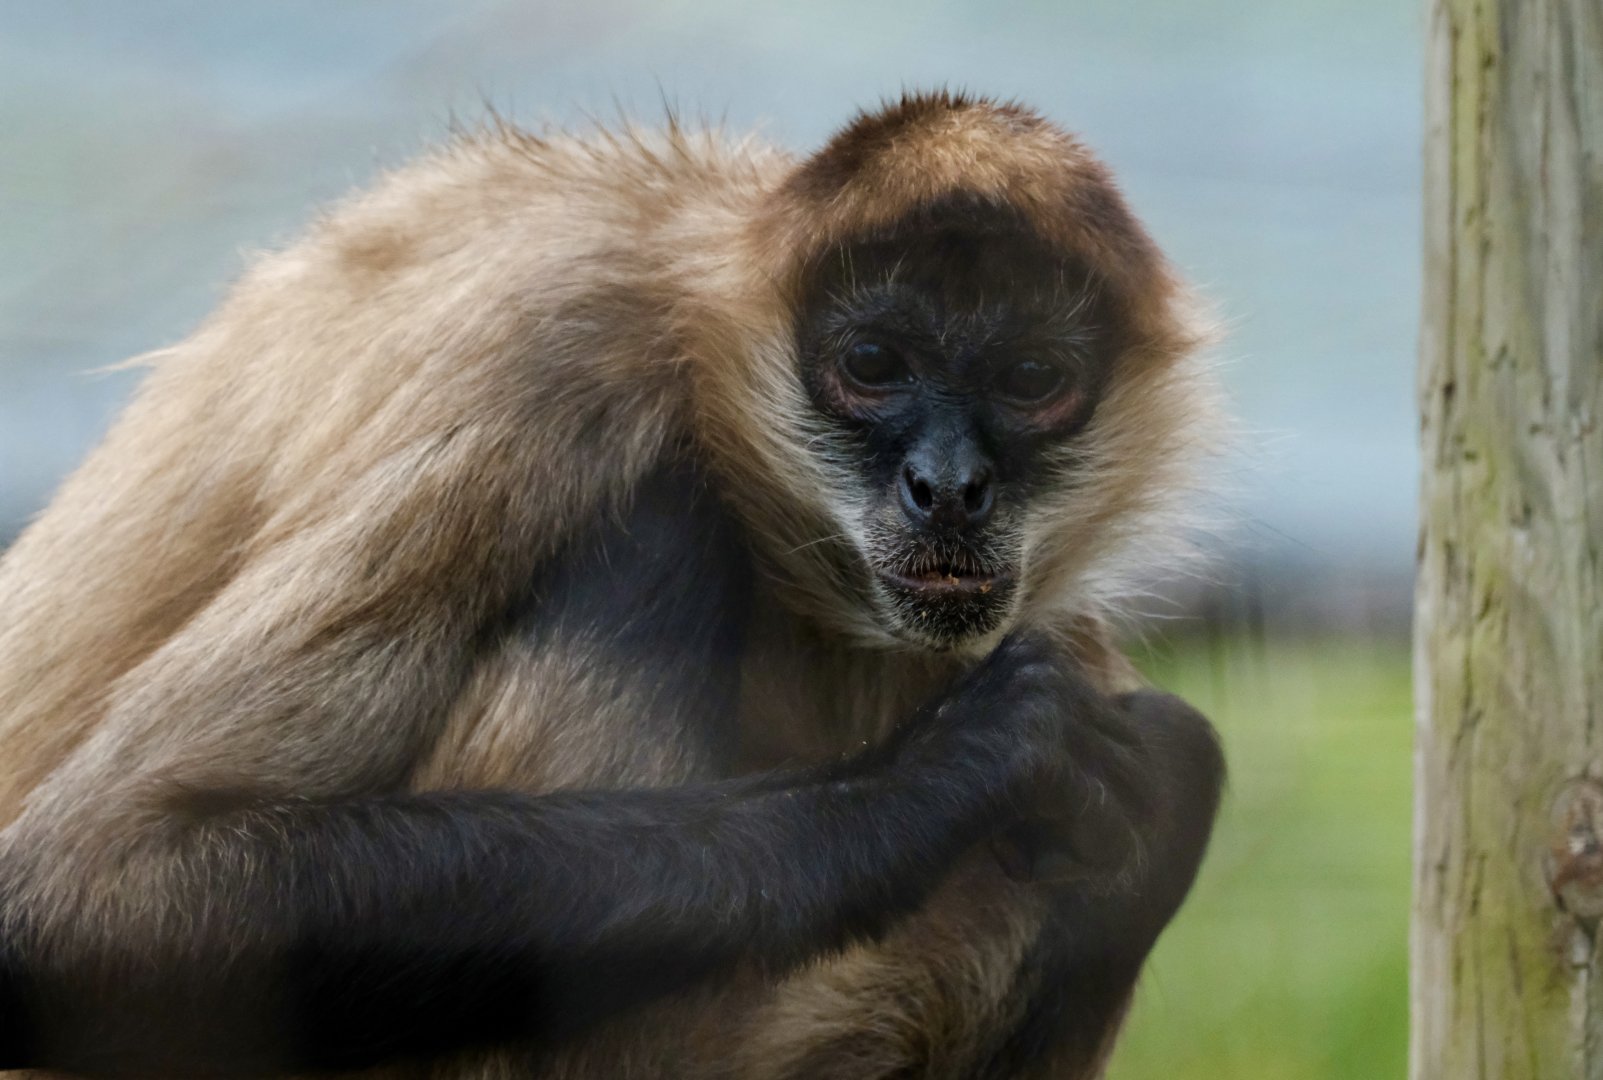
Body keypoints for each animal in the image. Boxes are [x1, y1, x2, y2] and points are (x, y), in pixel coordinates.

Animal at [0, 92, 1224, 1078]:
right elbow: (81, 893)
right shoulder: (543, 349)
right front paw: (945, 774)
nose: (951, 486)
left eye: (1031, 380)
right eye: (873, 366)